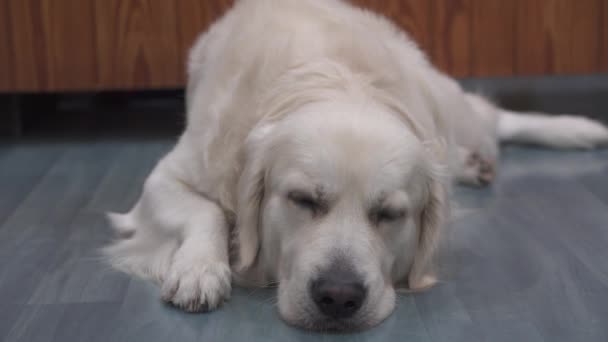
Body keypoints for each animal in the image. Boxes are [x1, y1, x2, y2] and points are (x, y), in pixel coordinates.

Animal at [102, 0, 604, 332]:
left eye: (390, 214)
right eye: (302, 200)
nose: (338, 297)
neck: (339, 81)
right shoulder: (170, 174)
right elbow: (203, 210)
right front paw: (199, 270)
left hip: (448, 104)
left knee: (494, 117)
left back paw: (579, 130)